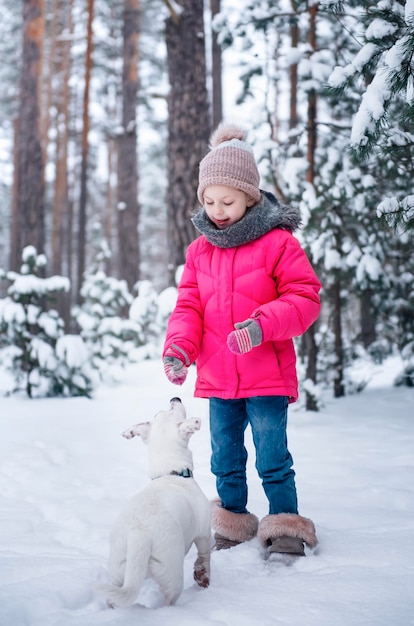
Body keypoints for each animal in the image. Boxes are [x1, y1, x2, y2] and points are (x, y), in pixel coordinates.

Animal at [99, 394, 210, 604]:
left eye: (157, 414)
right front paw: (203, 576)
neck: (169, 473)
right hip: (171, 573)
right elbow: (205, 554)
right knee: (169, 600)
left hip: (118, 569)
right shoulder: (203, 533)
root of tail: (139, 535)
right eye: (172, 411)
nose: (175, 397)